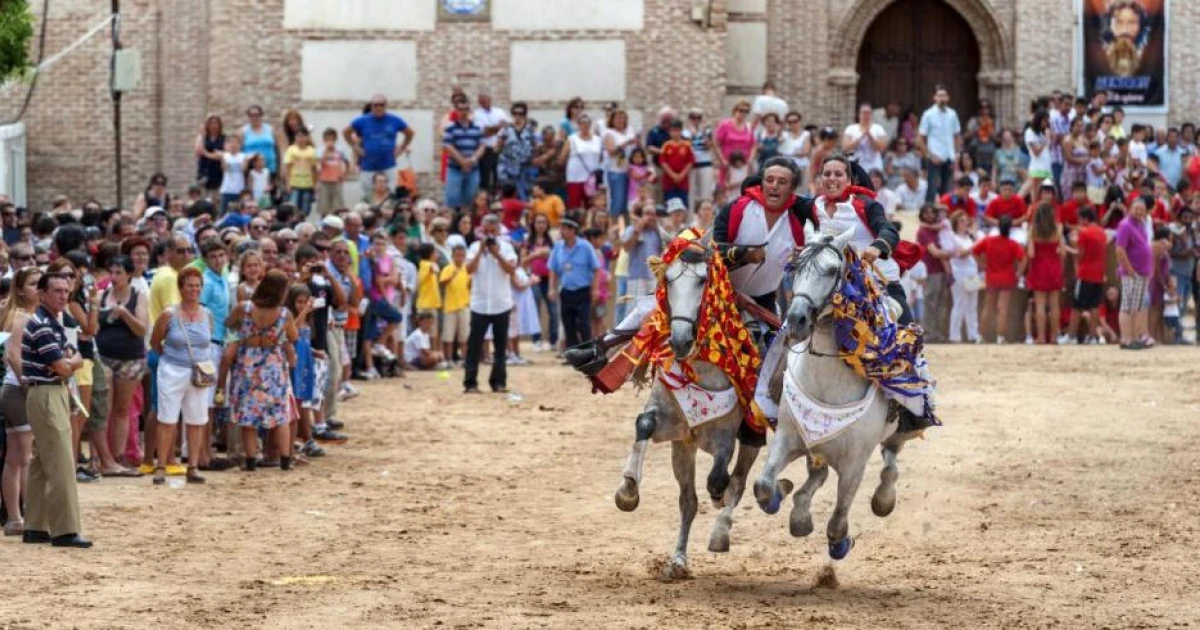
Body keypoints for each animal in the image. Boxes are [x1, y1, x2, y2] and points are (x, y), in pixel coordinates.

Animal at [612, 235, 767, 580]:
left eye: (701, 281)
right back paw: (679, 560)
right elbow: (643, 424)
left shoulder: (724, 434)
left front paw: (719, 497)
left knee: (737, 481)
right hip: (684, 448)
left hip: (748, 437)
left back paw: (720, 531)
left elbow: (720, 478)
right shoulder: (673, 426)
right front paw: (627, 492)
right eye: (668, 280)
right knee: (689, 501)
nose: (680, 339)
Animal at [753, 226, 917, 560]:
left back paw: (883, 500)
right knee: (818, 475)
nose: (797, 319)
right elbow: (763, 484)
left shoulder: (855, 461)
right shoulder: (788, 436)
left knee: (891, 462)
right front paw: (781, 497)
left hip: (899, 431)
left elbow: (839, 517)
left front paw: (841, 543)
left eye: (831, 270)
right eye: (795, 267)